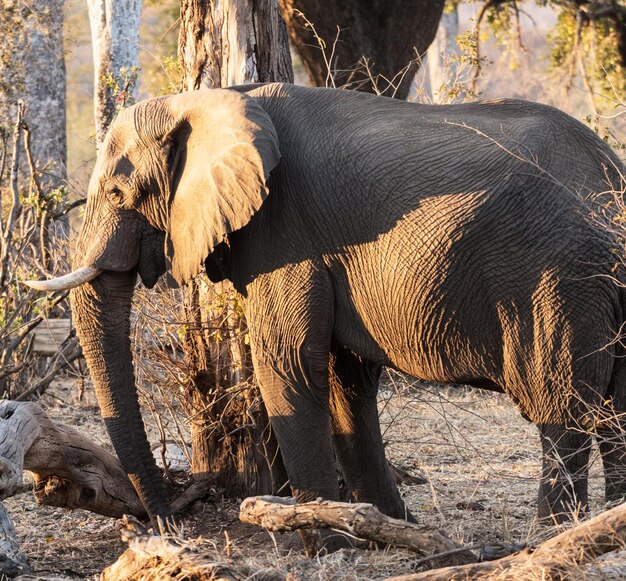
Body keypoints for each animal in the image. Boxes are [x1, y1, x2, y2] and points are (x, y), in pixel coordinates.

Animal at [28, 84, 624, 528]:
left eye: (116, 195)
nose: (169, 521)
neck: (211, 98)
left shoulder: (286, 233)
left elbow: (288, 363)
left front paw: (318, 538)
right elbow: (344, 380)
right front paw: (384, 528)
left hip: (559, 282)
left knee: (564, 414)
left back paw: (552, 535)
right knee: (614, 413)